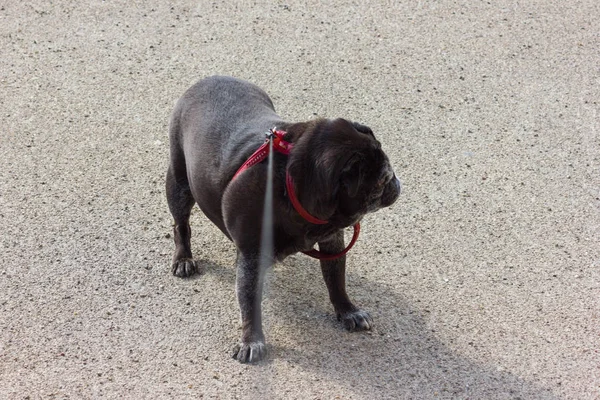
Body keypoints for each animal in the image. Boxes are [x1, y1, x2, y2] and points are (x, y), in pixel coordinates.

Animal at [166, 75, 400, 362]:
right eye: (382, 181)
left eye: (388, 175)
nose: (396, 183)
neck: (292, 185)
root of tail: (208, 79)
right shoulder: (252, 260)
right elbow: (250, 303)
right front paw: (251, 341)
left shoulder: (332, 241)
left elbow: (336, 279)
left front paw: (347, 310)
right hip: (178, 183)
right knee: (181, 224)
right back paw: (183, 258)